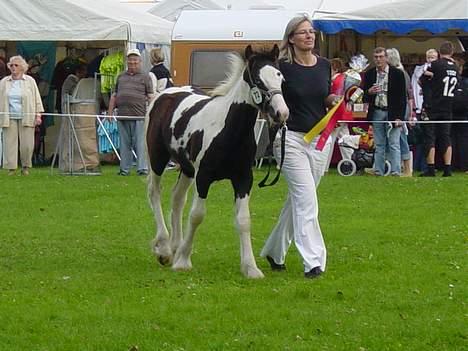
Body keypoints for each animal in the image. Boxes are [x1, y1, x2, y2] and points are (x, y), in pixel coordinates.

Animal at [145, 44, 288, 280]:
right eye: (258, 81)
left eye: (280, 77)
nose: (281, 113)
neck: (229, 130)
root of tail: (165, 94)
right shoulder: (204, 177)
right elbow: (197, 215)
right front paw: (183, 261)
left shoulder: (243, 179)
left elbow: (243, 220)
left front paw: (250, 267)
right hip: (158, 158)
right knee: (154, 193)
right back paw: (165, 249)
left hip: (187, 169)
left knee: (177, 198)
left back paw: (175, 246)